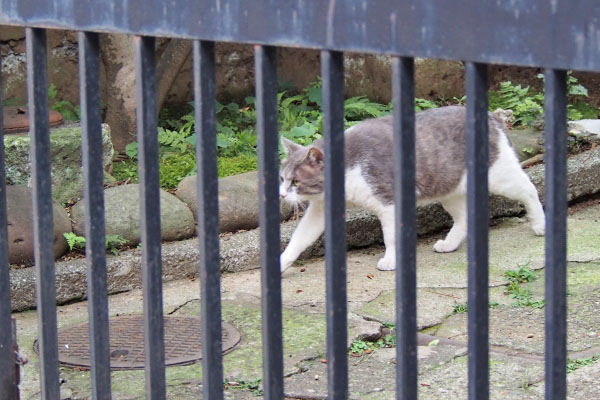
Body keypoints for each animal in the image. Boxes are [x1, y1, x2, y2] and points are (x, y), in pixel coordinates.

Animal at [278, 105, 548, 272]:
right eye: (282, 178)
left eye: (296, 182)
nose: (281, 193)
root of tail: (492, 116)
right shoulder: (320, 209)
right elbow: (299, 239)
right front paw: (280, 264)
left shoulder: (388, 203)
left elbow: (390, 236)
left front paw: (390, 260)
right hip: (448, 189)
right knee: (465, 218)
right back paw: (448, 244)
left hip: (500, 176)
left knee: (529, 189)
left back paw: (539, 224)